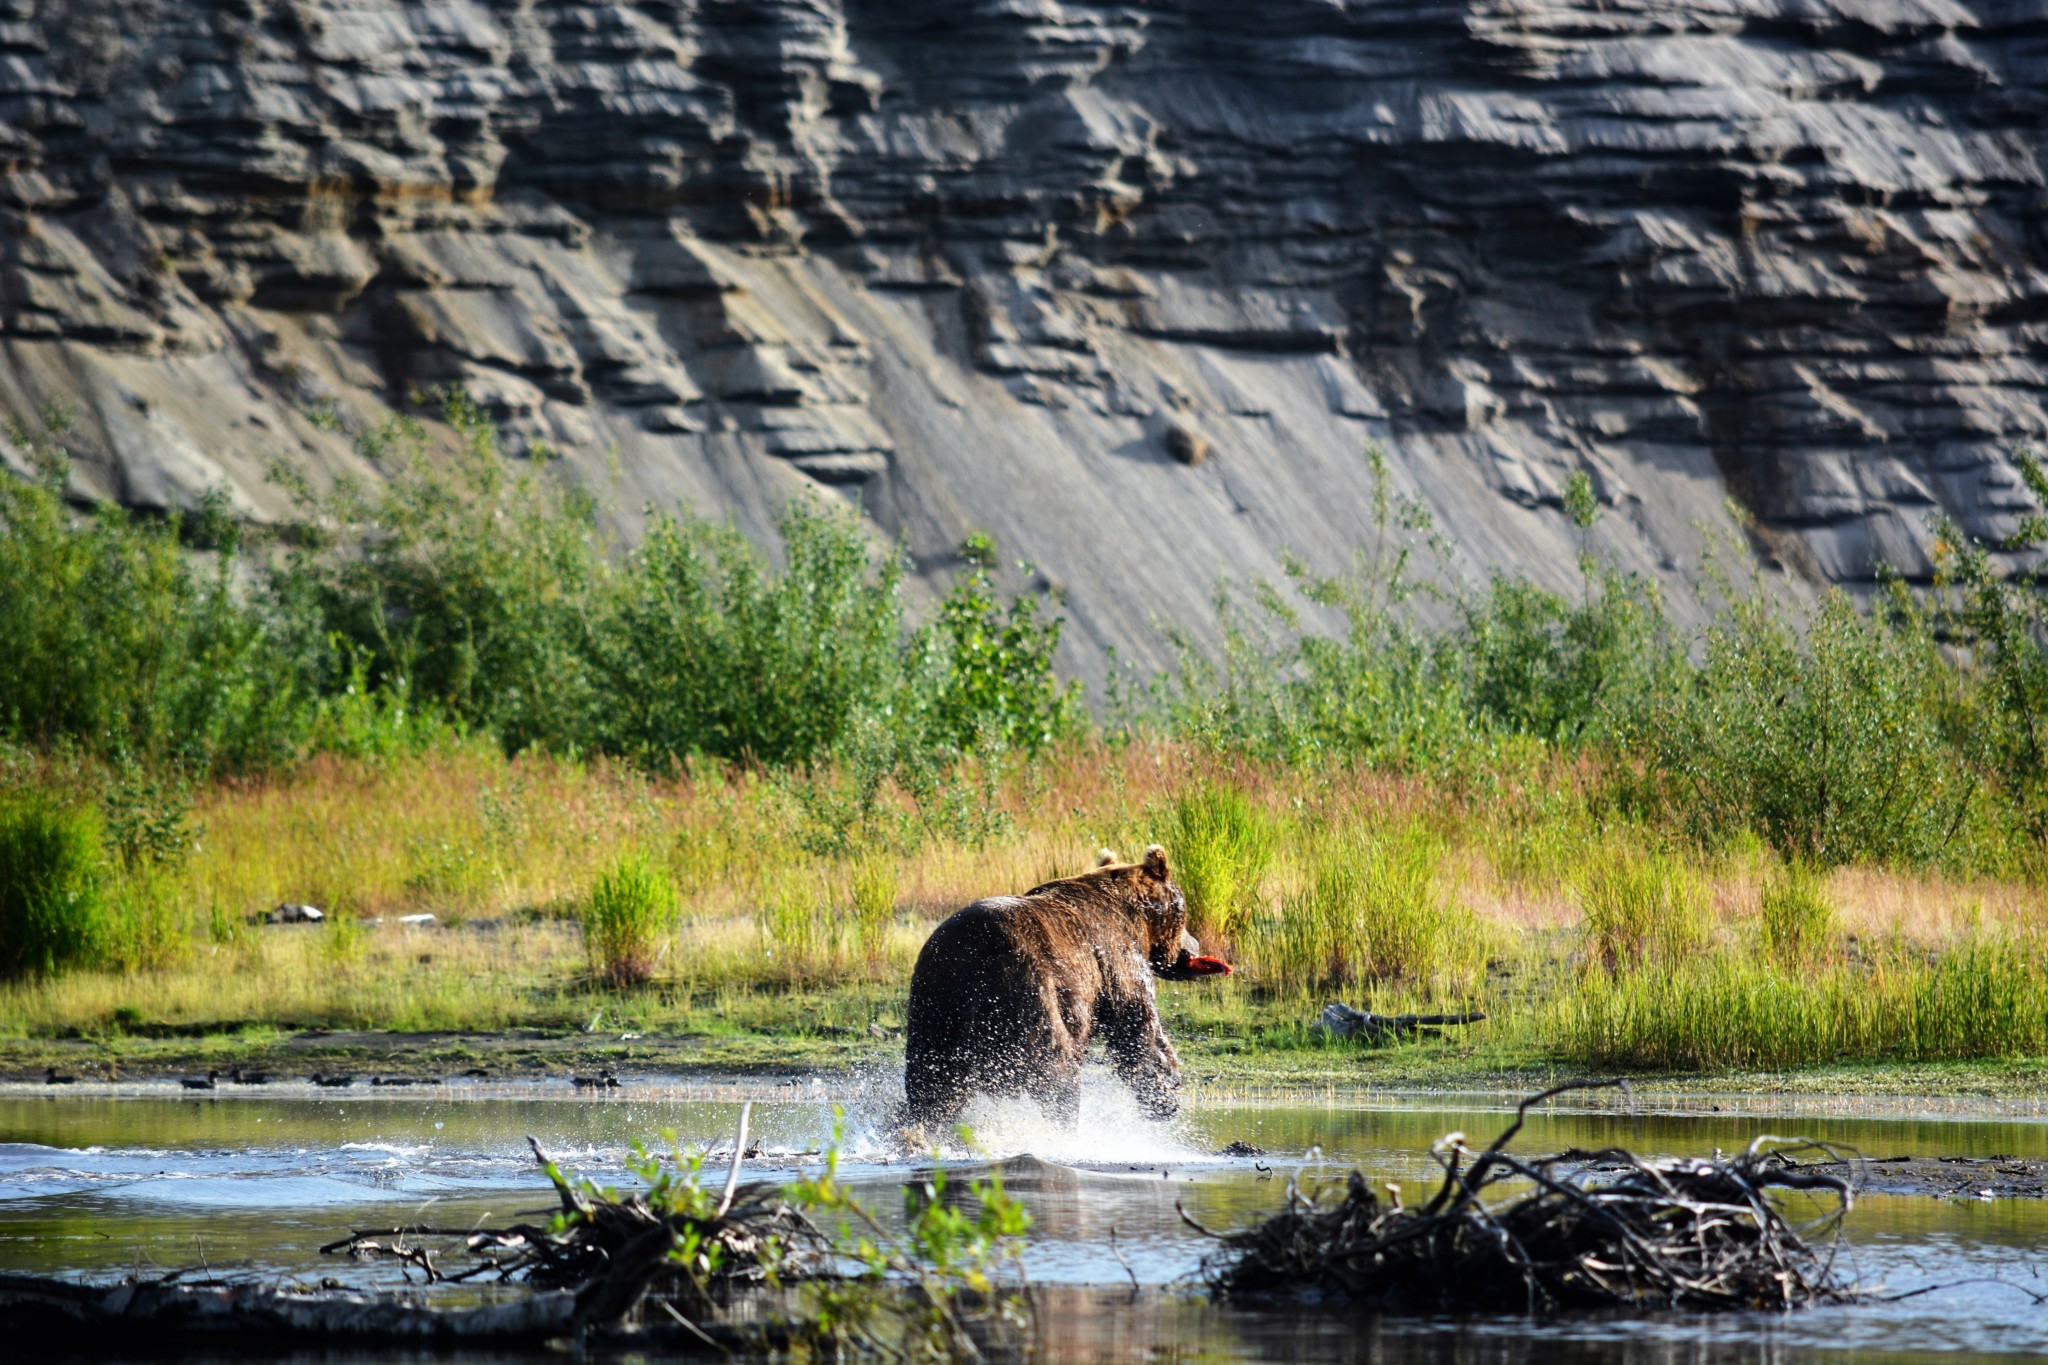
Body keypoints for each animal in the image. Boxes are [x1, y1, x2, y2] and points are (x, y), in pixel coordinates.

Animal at [905, 843, 1220, 1129]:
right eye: (1183, 911)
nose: (1193, 944)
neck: (1137, 916)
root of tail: (970, 961)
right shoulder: (1116, 958)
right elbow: (1138, 1025)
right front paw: (1167, 1089)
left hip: (935, 1004)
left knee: (931, 1079)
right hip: (1030, 990)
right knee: (1055, 1067)